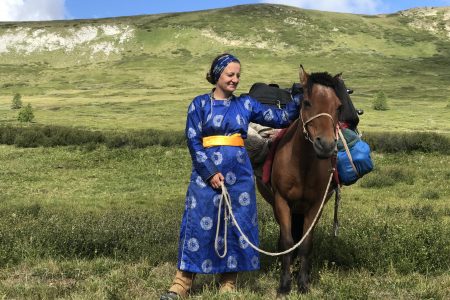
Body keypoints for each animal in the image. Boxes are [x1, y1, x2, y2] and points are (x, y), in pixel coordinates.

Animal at [256, 66, 342, 296]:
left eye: (338, 106)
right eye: (307, 103)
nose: (326, 145)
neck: (302, 165)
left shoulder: (315, 206)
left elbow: (306, 243)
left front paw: (303, 283)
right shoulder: (282, 202)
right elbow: (287, 242)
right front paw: (284, 285)